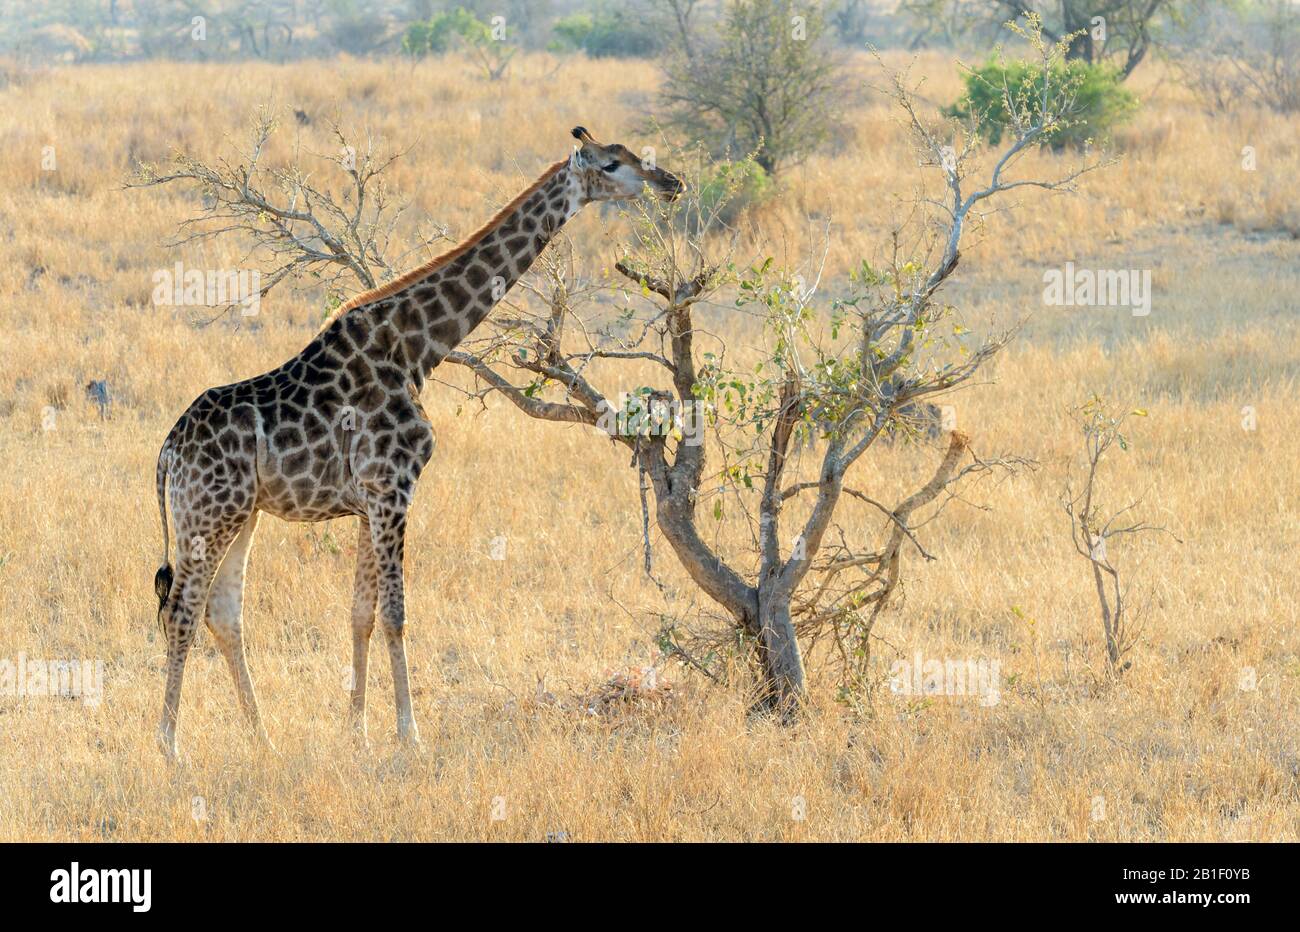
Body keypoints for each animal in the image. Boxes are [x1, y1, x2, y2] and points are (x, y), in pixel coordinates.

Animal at [152, 127, 683, 759]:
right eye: (611, 164)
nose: (671, 182)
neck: (414, 349)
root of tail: (166, 454)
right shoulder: (393, 488)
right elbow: (396, 614)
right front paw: (410, 734)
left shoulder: (367, 502)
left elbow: (360, 613)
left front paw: (355, 730)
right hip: (209, 514)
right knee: (181, 611)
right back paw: (170, 748)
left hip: (240, 515)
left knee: (222, 611)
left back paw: (264, 739)